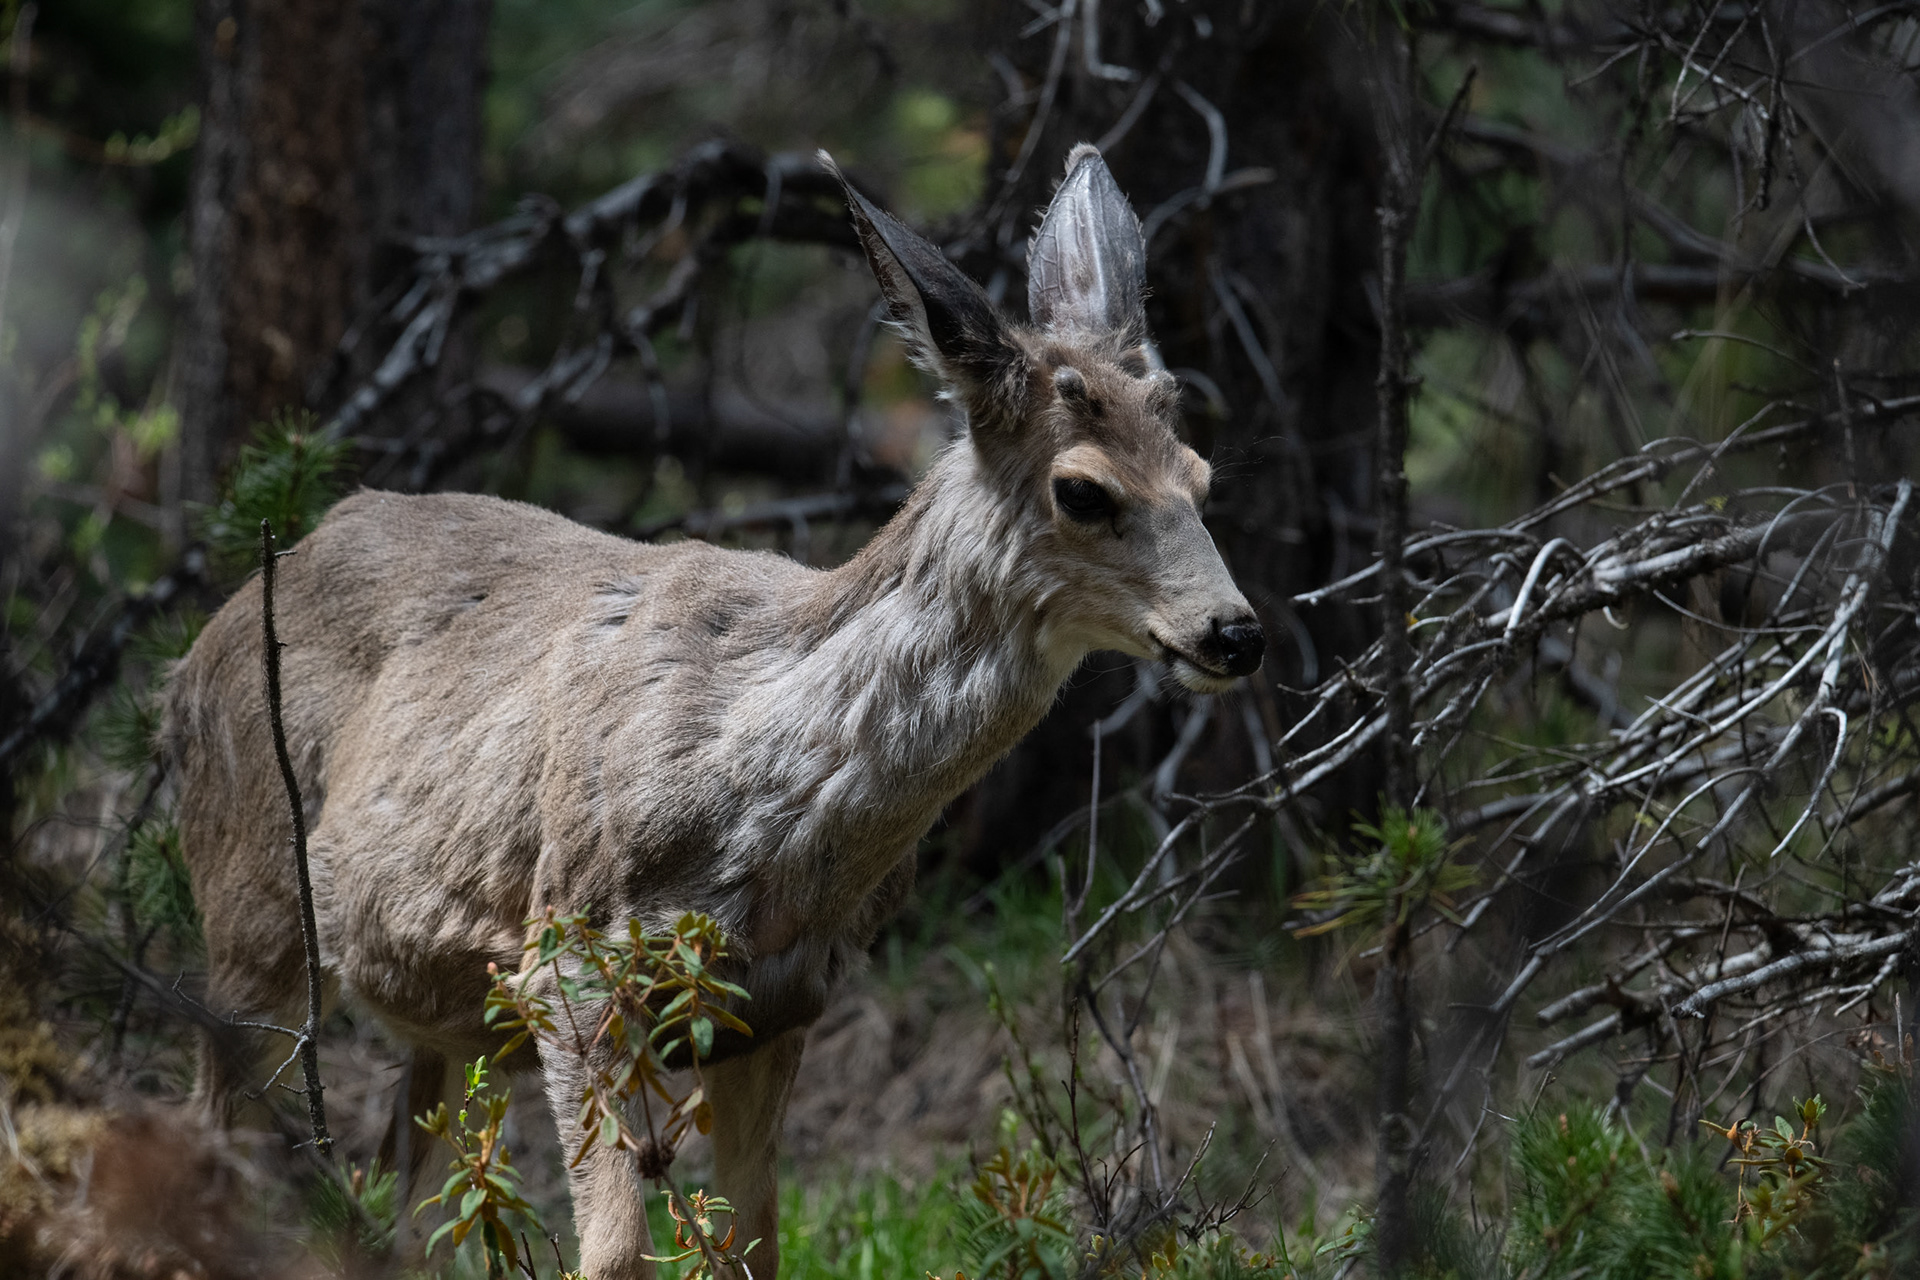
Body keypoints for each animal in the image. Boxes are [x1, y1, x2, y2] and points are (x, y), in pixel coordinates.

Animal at [162, 145, 1265, 1279]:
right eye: (1083, 489)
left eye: (1201, 474)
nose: (1235, 632)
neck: (764, 790)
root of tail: (204, 641)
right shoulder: (567, 955)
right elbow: (614, 1254)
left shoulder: (774, 1005)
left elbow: (753, 1245)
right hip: (251, 905)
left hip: (440, 1017)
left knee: (394, 1206)